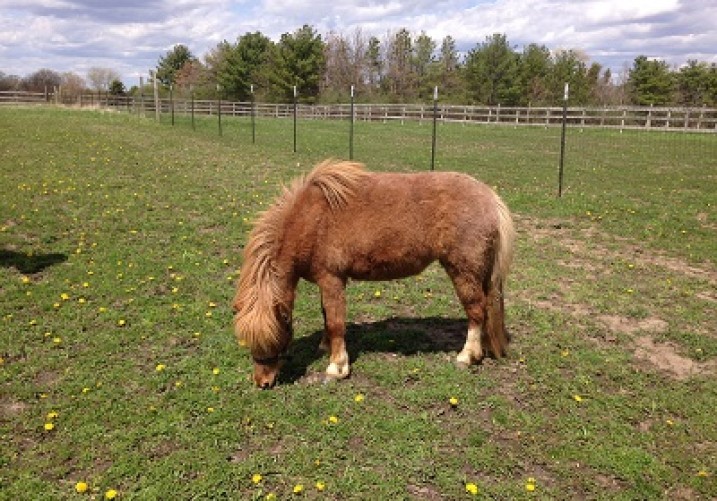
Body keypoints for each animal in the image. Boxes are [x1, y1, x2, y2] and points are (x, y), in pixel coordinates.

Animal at [235, 159, 516, 386]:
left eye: (273, 338)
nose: (263, 382)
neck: (310, 220)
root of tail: (490, 198)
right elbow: (327, 316)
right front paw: (325, 346)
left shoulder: (331, 279)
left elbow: (336, 322)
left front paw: (337, 367)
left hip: (463, 271)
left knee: (476, 310)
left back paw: (467, 356)